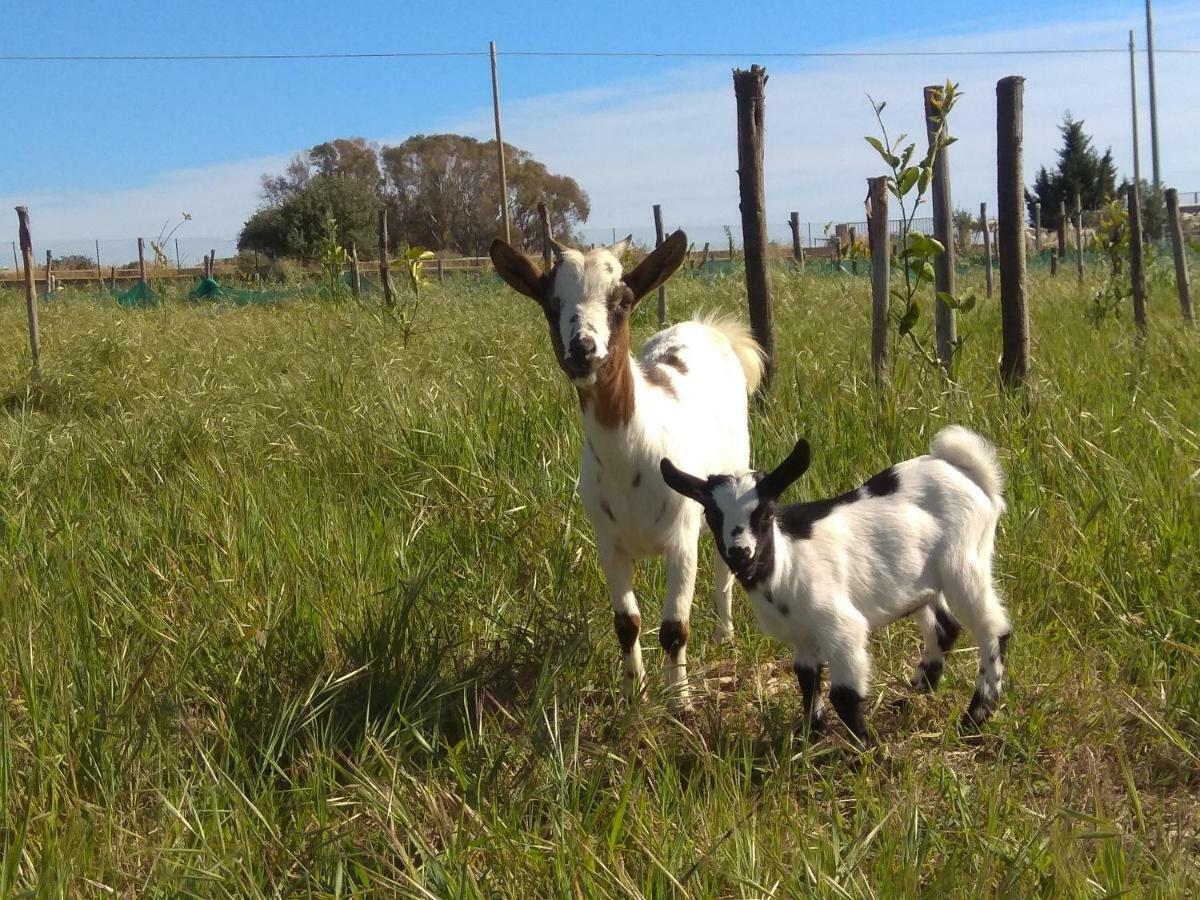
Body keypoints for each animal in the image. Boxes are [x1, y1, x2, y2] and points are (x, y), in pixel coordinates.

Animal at [489, 230, 763, 705]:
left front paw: (681, 702)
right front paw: (636, 699)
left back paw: (724, 636)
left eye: (623, 300)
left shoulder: (681, 540)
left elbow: (674, 628)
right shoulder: (609, 544)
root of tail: (708, 327)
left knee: (723, 567)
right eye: (550, 302)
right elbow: (627, 625)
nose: (583, 350)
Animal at [662, 429, 1008, 748]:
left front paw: (866, 751)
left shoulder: (842, 628)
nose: (740, 553)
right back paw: (912, 699)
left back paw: (974, 718)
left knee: (994, 630)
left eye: (765, 512)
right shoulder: (802, 636)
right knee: (945, 627)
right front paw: (810, 739)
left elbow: (843, 694)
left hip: (964, 564)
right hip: (923, 583)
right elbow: (807, 680)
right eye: (711, 514)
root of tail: (965, 471)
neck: (784, 564)